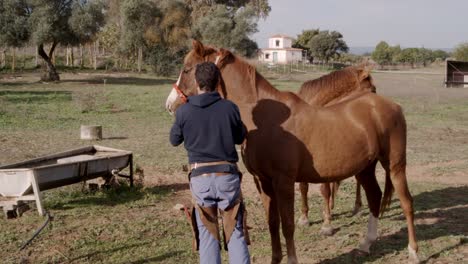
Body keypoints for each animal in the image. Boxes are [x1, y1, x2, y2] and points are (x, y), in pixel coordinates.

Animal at [296, 65, 376, 233]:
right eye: (373, 90)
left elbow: (324, 190)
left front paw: (327, 225)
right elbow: (303, 187)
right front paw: (304, 218)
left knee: (358, 180)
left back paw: (357, 208)